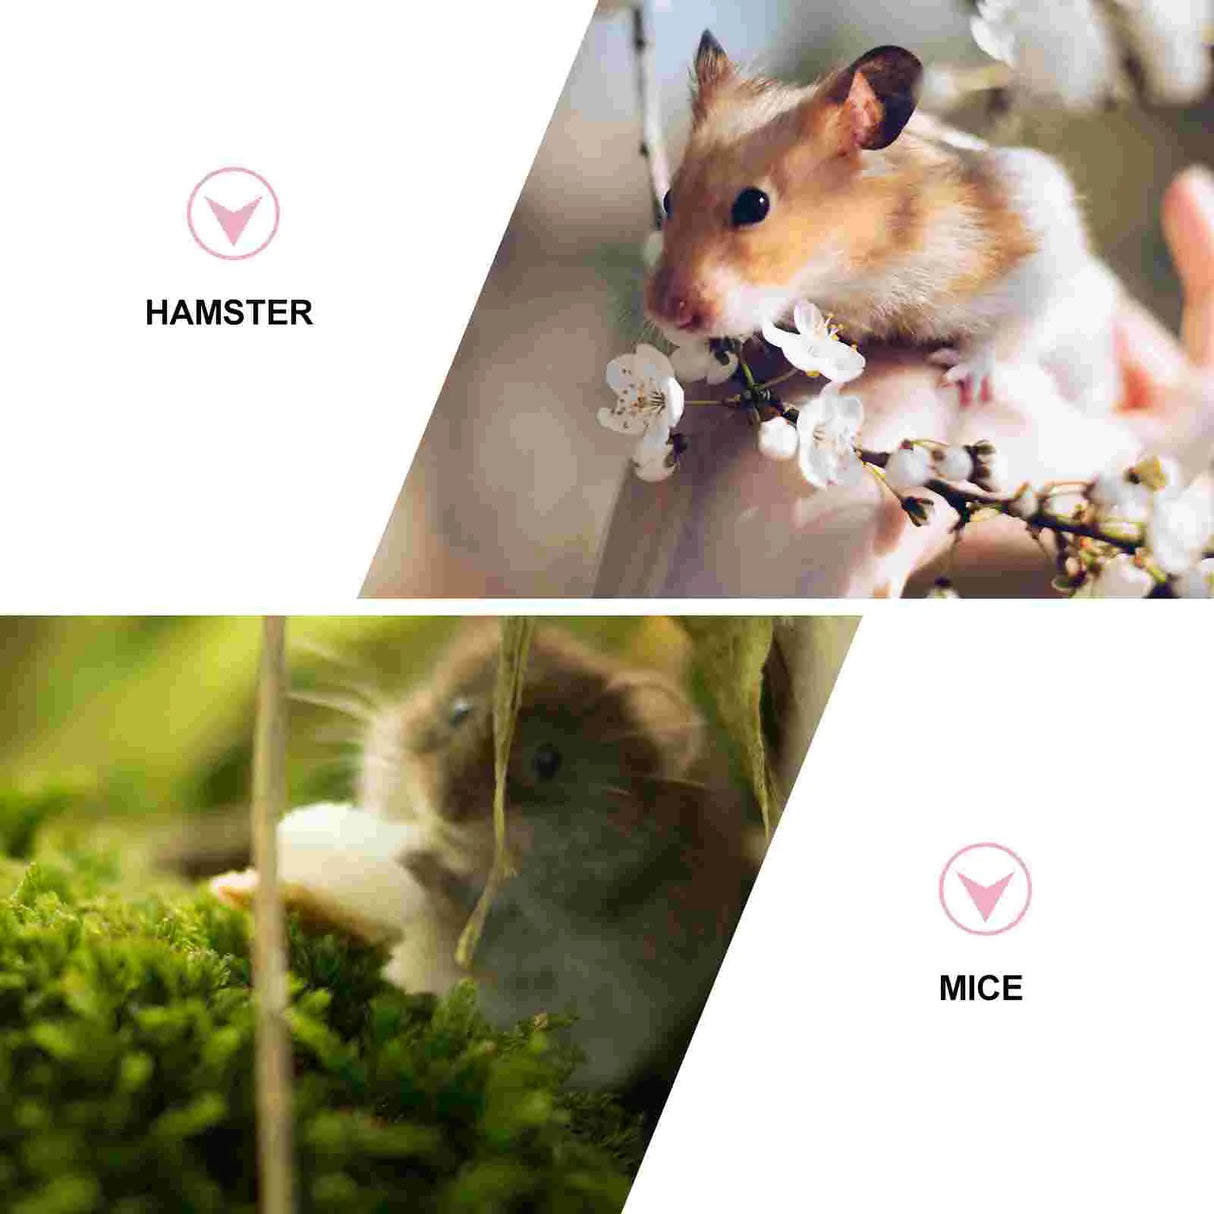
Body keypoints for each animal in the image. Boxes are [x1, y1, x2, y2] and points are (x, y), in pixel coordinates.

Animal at [645, 33, 1120, 410]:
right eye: (668, 199)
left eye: (754, 205)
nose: (665, 315)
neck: (858, 266)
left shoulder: (1037, 247)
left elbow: (1007, 333)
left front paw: (961, 376)